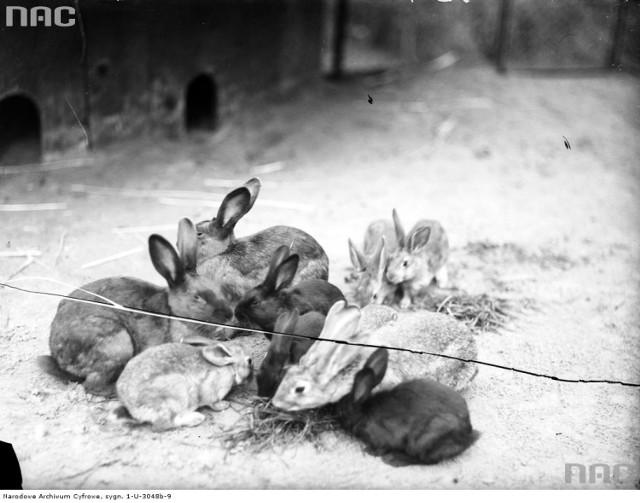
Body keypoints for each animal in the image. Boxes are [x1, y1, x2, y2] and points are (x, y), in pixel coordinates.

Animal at [38, 219, 232, 400]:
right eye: (197, 297)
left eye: (215, 286)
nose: (229, 315)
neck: (174, 314)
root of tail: (57, 356)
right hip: (118, 345)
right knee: (92, 385)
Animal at [116, 342, 251, 434]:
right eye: (249, 361)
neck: (230, 369)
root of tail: (131, 408)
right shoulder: (211, 390)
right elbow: (213, 403)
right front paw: (224, 405)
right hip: (177, 394)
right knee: (163, 425)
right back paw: (196, 418)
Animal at [336, 348, 480, 466]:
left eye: (341, 411)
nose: (334, 413)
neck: (363, 413)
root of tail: (467, 434)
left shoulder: (379, 437)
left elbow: (380, 447)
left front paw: (369, 451)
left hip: (424, 441)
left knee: (424, 460)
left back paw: (393, 459)